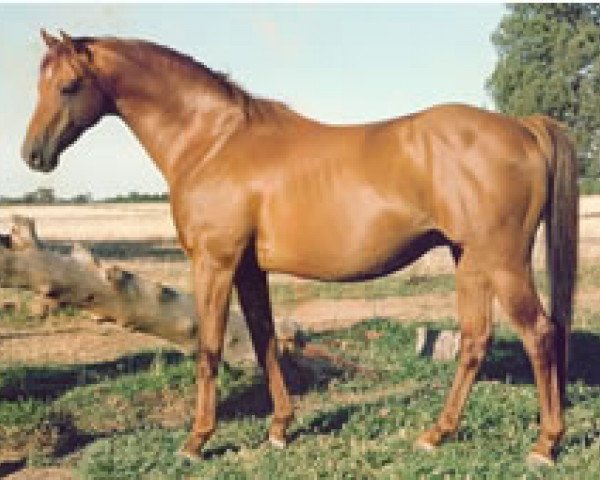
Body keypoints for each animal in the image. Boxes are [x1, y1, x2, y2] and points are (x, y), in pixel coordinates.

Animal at [22, 31, 576, 464]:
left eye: (69, 86)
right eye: (40, 84)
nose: (33, 155)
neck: (214, 142)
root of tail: (523, 127)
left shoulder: (215, 263)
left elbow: (210, 346)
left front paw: (196, 441)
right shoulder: (249, 269)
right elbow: (265, 339)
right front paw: (280, 430)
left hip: (503, 261)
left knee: (540, 333)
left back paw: (545, 445)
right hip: (470, 260)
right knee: (475, 340)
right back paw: (436, 435)